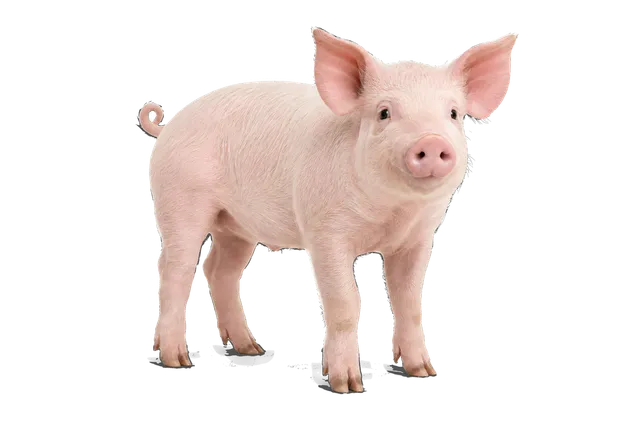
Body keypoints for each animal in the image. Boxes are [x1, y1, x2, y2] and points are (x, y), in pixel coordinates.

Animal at [140, 27, 518, 393]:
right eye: (384, 113)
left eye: (452, 113)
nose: (431, 141)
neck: (392, 212)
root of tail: (168, 125)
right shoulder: (325, 233)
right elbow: (345, 304)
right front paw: (346, 385)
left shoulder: (418, 239)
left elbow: (409, 301)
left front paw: (423, 371)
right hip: (179, 200)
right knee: (175, 270)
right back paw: (176, 359)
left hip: (236, 226)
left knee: (218, 269)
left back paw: (251, 349)